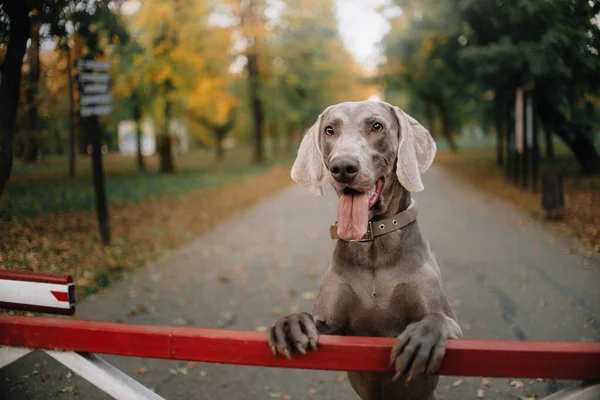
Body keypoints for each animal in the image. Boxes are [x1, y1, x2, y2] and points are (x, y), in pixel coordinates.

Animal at [270, 101, 462, 400]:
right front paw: (292, 324)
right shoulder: (339, 332)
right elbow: (319, 323)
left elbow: (439, 319)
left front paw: (424, 339)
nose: (342, 167)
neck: (374, 247)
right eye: (329, 130)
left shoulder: (455, 327)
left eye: (377, 126)